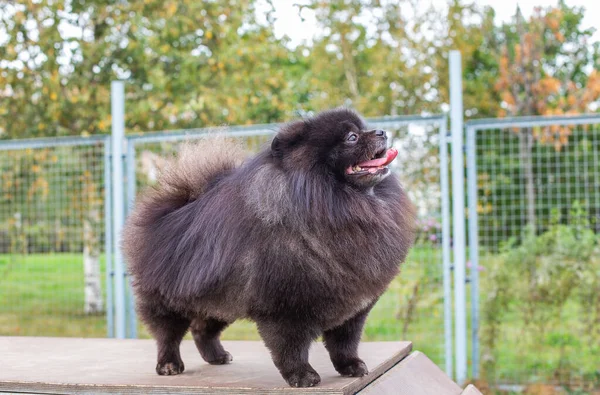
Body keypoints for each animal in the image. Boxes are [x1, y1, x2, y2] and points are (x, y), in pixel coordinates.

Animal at [122, 109, 412, 390]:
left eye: (365, 128)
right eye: (352, 137)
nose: (381, 131)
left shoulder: (352, 310)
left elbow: (344, 343)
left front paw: (351, 366)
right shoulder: (284, 309)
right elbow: (291, 348)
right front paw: (302, 376)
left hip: (220, 298)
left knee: (203, 329)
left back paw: (217, 356)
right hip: (168, 300)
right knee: (167, 334)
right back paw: (169, 364)